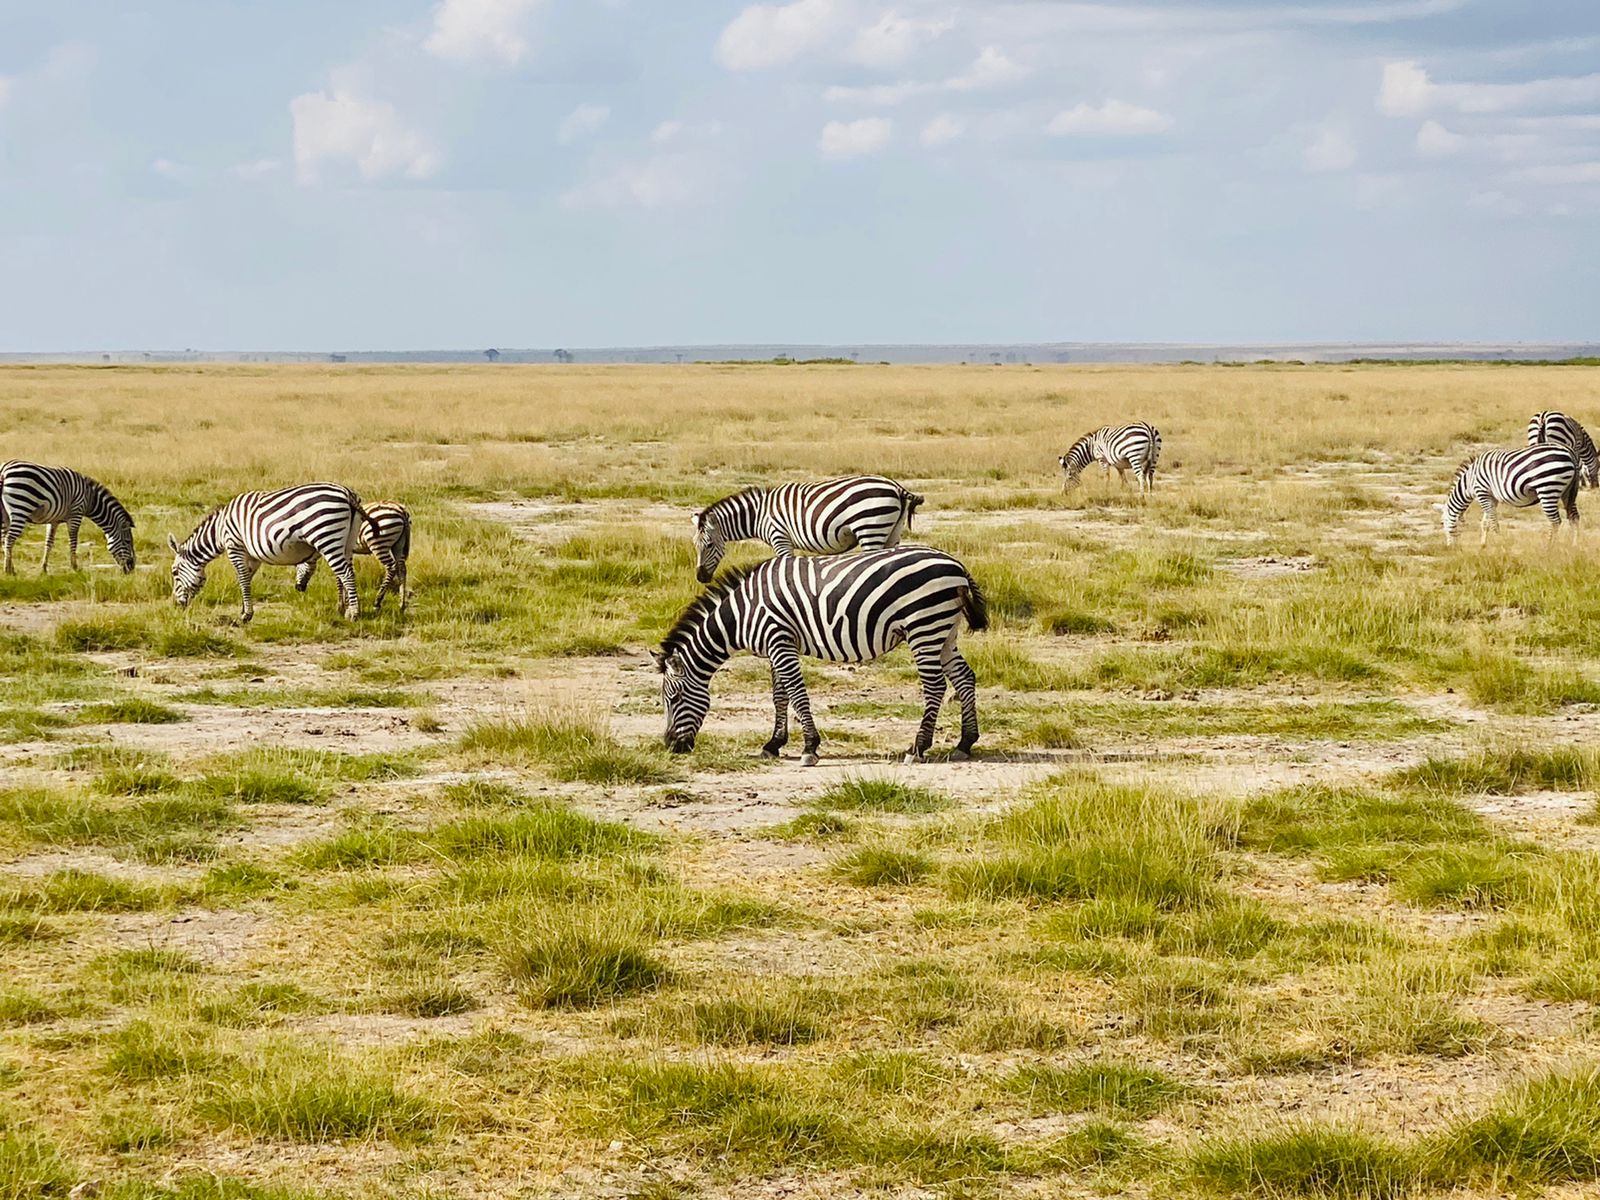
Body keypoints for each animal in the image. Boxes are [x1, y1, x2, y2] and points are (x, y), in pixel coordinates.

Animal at [0, 460, 136, 576]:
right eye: (127, 542)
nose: (132, 568)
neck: (90, 499)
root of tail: (4, 470)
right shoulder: (76, 513)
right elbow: (73, 541)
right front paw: (75, 567)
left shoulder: (54, 520)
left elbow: (49, 543)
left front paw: (44, 569)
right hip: (21, 507)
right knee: (9, 539)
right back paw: (8, 571)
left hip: (5, 514)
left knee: (4, 539)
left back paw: (10, 568)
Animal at [167, 483, 379, 622]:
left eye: (174, 572)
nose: (176, 605)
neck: (219, 530)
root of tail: (347, 493)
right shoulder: (251, 554)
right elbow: (247, 579)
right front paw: (245, 609)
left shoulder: (234, 546)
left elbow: (242, 579)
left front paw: (246, 615)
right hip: (346, 540)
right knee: (343, 573)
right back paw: (342, 609)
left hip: (326, 535)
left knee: (346, 574)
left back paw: (354, 614)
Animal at [652, 546, 988, 766]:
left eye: (675, 698)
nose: (670, 747)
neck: (743, 614)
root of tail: (956, 565)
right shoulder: (776, 645)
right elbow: (780, 696)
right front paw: (774, 744)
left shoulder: (779, 639)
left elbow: (797, 694)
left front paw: (809, 748)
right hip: (944, 631)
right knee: (964, 677)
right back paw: (965, 742)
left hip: (924, 626)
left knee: (935, 687)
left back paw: (917, 748)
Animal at [692, 475, 924, 583]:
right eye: (694, 546)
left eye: (709, 545)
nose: (700, 578)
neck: (759, 514)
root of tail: (895, 486)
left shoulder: (779, 537)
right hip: (892, 531)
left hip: (870, 527)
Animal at [1443, 445, 1580, 547]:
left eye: (1443, 524)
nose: (1449, 548)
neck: (1469, 482)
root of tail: (1569, 452)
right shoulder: (1492, 498)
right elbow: (1485, 522)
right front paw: (1483, 545)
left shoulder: (1482, 493)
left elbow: (1493, 522)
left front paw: (1500, 543)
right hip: (1567, 492)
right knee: (1574, 517)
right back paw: (1574, 546)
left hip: (1548, 488)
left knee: (1555, 521)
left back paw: (1549, 547)